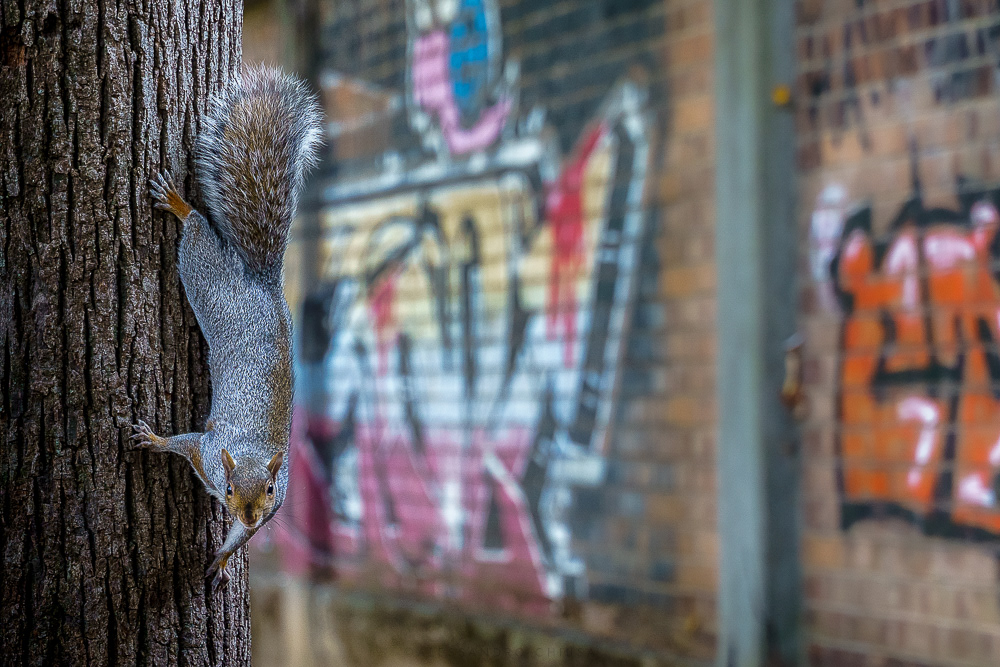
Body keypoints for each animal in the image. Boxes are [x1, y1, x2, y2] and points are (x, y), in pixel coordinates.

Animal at [132, 65, 323, 590]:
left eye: (273, 488)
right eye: (232, 486)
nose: (251, 513)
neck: (249, 452)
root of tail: (262, 284)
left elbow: (240, 539)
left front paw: (221, 558)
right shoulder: (208, 451)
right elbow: (184, 444)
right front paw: (154, 440)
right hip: (208, 279)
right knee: (198, 231)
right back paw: (179, 204)